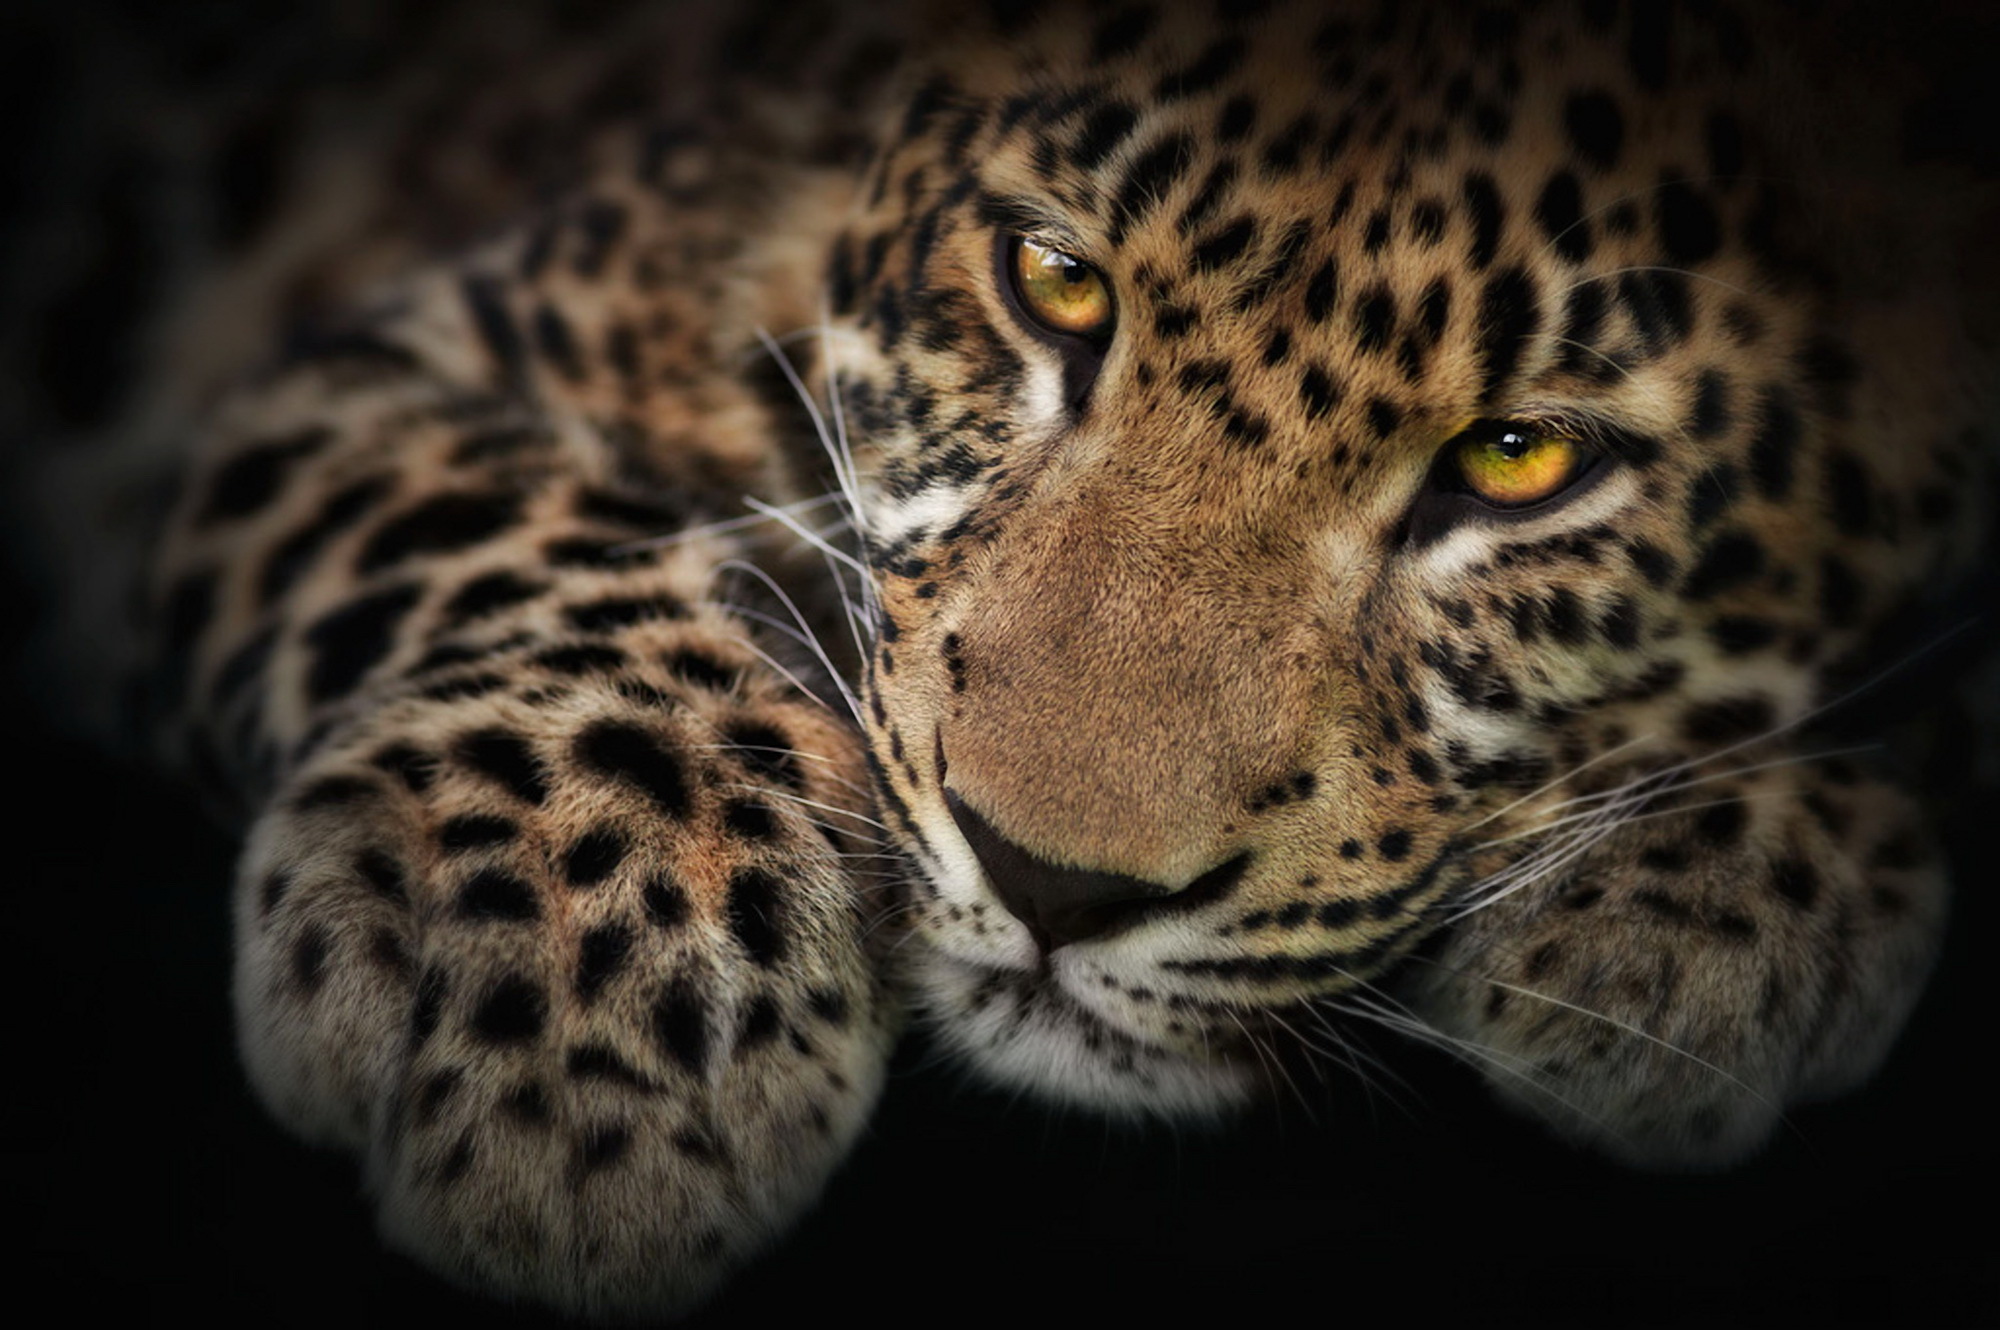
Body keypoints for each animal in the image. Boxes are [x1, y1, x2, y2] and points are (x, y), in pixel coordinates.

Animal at [7, 0, 1992, 1320]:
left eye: (1520, 459)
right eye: (1052, 282)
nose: (1053, 887)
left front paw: (1716, 899)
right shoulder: (366, 372)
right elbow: (512, 523)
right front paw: (585, 1022)